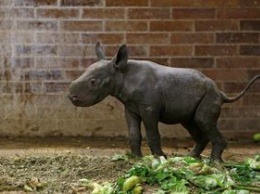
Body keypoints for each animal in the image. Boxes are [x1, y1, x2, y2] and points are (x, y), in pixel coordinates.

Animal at [68, 42, 260, 162]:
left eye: (93, 82)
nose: (71, 97)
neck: (121, 74)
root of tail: (221, 92)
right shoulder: (130, 107)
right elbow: (133, 133)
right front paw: (136, 158)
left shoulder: (149, 107)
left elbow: (153, 133)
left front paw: (160, 158)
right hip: (200, 95)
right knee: (192, 122)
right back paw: (191, 157)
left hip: (210, 94)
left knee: (203, 120)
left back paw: (215, 163)